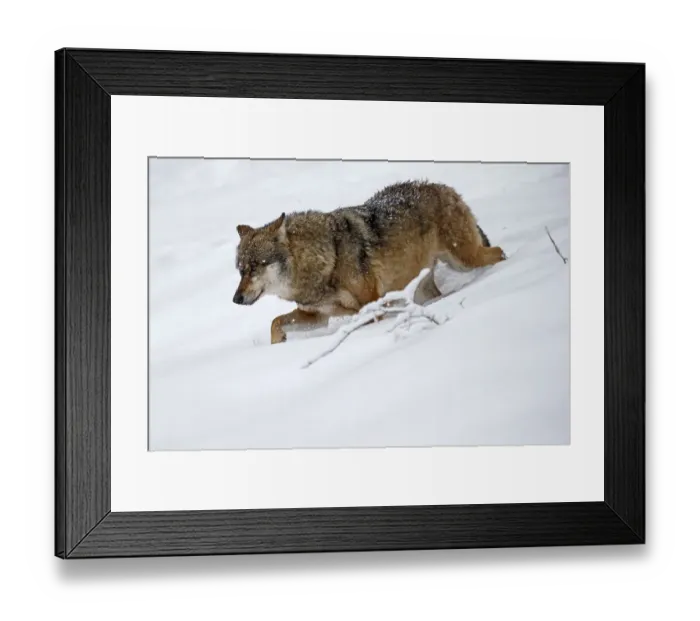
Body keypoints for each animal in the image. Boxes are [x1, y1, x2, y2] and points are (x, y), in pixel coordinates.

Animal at [233, 180, 506, 344]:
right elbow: (275, 322)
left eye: (255, 266)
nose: (236, 299)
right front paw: (277, 346)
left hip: (464, 259)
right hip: (425, 284)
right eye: (240, 270)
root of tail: (443, 187)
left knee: (499, 252)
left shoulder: (371, 305)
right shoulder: (317, 317)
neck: (326, 260)